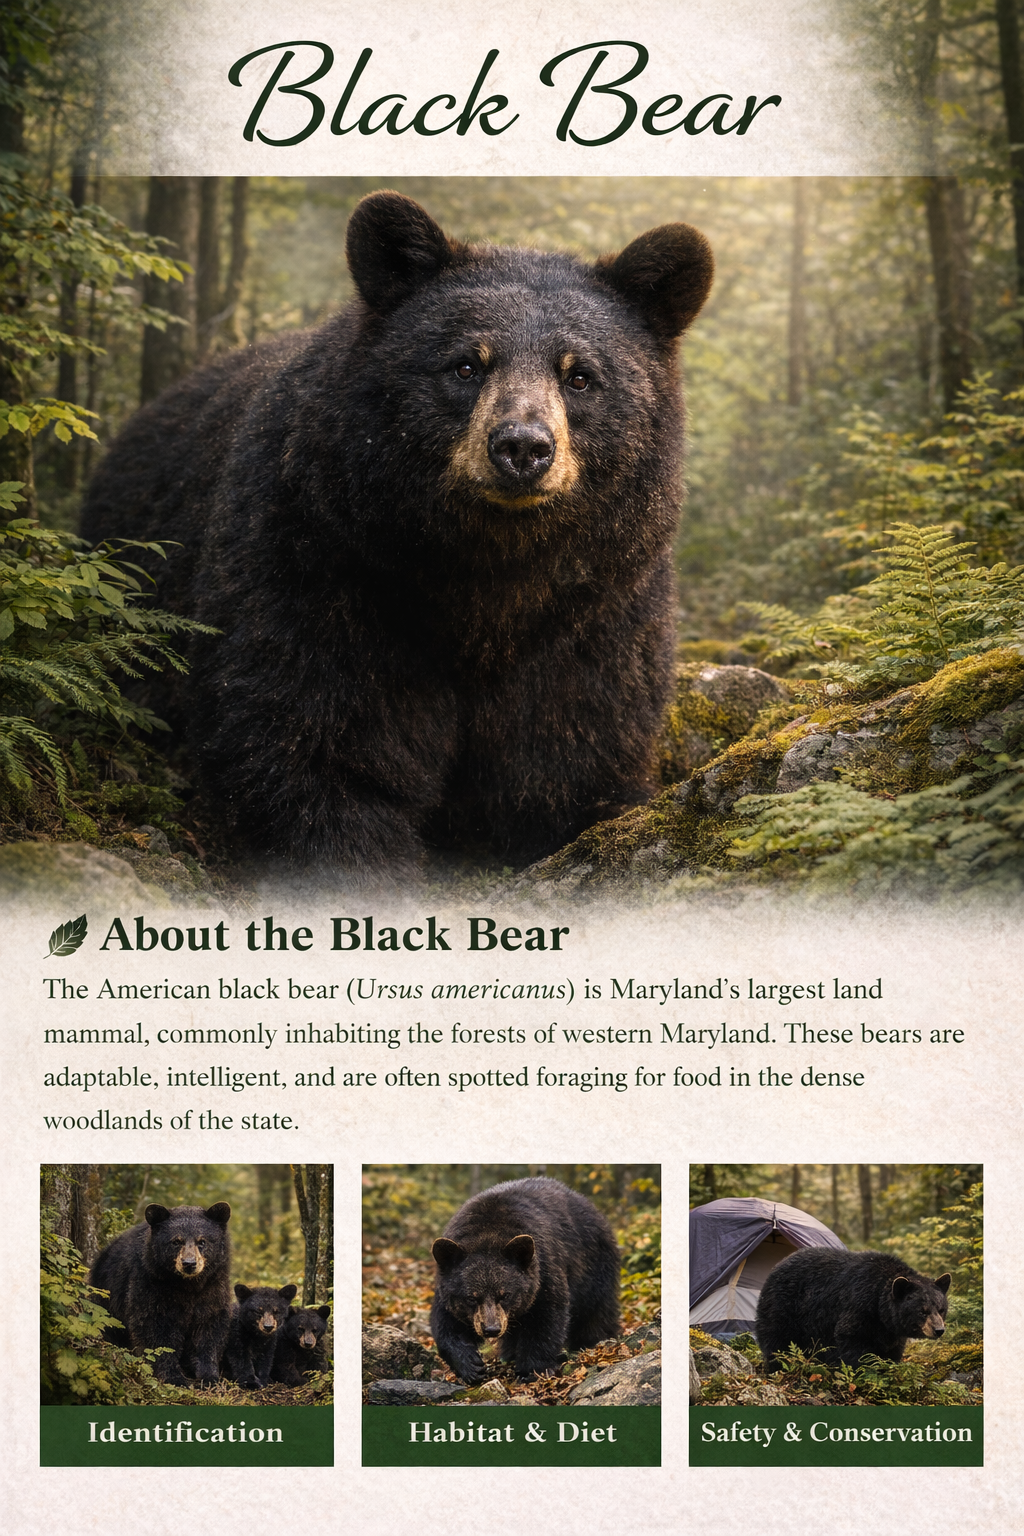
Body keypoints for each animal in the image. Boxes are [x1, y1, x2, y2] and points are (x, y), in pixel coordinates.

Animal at [80, 191, 713, 869]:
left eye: (580, 376)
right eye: (466, 366)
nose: (522, 447)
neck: (489, 576)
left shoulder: (597, 602)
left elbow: (575, 735)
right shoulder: (322, 560)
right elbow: (313, 726)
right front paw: (353, 852)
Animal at [88, 1202, 232, 1386]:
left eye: (202, 1241)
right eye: (176, 1241)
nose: (189, 1263)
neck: (188, 1286)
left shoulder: (213, 1288)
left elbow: (209, 1330)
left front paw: (209, 1376)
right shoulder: (151, 1286)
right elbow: (156, 1332)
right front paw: (174, 1377)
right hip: (106, 1296)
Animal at [429, 1176, 620, 1384]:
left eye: (505, 1295)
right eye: (471, 1297)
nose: (491, 1329)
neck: (488, 1233)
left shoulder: (543, 1270)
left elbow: (546, 1318)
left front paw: (532, 1369)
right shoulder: (446, 1283)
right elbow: (447, 1324)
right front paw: (470, 1365)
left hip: (594, 1266)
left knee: (596, 1310)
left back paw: (594, 1339)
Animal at [755, 1247, 952, 1371]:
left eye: (941, 1309)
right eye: (922, 1310)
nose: (939, 1330)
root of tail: (777, 1265)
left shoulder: (890, 1331)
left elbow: (892, 1350)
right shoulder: (859, 1306)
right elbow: (852, 1340)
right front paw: (864, 1370)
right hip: (784, 1306)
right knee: (776, 1338)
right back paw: (778, 1364)